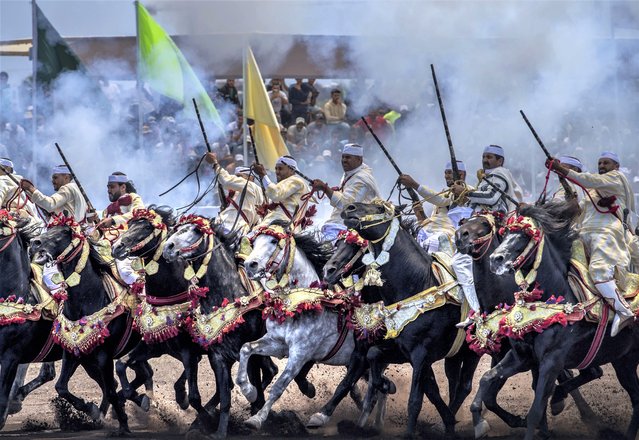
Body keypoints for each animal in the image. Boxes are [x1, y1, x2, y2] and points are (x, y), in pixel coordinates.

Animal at [30, 215, 141, 434]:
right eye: (49, 227)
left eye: (65, 232)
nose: (35, 243)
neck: (89, 299)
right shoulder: (73, 352)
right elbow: (61, 387)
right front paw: (91, 409)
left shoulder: (105, 355)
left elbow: (111, 390)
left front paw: (123, 425)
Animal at [236, 222, 360, 428]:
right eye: (254, 243)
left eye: (273, 241)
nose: (249, 265)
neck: (299, 305)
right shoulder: (277, 343)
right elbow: (246, 348)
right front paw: (250, 391)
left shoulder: (300, 353)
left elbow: (279, 385)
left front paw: (257, 419)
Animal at [340, 202, 480, 436]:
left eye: (379, 207)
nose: (349, 208)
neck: (417, 284)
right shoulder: (402, 349)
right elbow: (373, 354)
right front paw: (385, 385)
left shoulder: (420, 354)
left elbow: (415, 400)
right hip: (455, 354)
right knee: (454, 383)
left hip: (474, 351)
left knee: (465, 385)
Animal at [472, 199, 639, 440]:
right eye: (506, 233)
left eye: (526, 235)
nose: (495, 259)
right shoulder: (522, 357)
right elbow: (487, 378)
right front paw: (480, 422)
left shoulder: (551, 361)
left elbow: (535, 411)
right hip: (623, 361)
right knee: (634, 399)